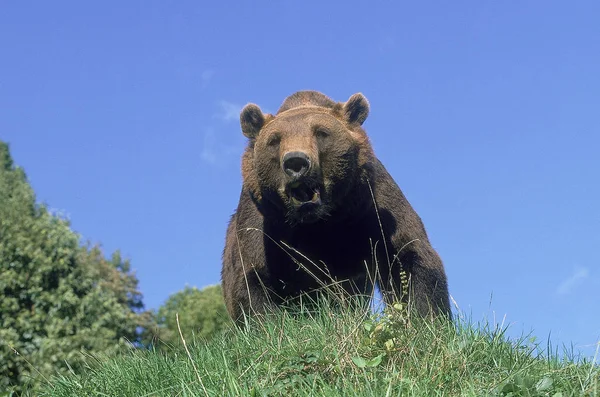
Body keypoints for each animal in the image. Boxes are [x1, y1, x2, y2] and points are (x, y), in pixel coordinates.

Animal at [221, 89, 450, 322]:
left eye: (321, 132)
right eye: (274, 140)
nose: (296, 162)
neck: (320, 221)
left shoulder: (372, 206)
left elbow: (408, 257)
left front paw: (423, 318)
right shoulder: (263, 223)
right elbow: (254, 279)